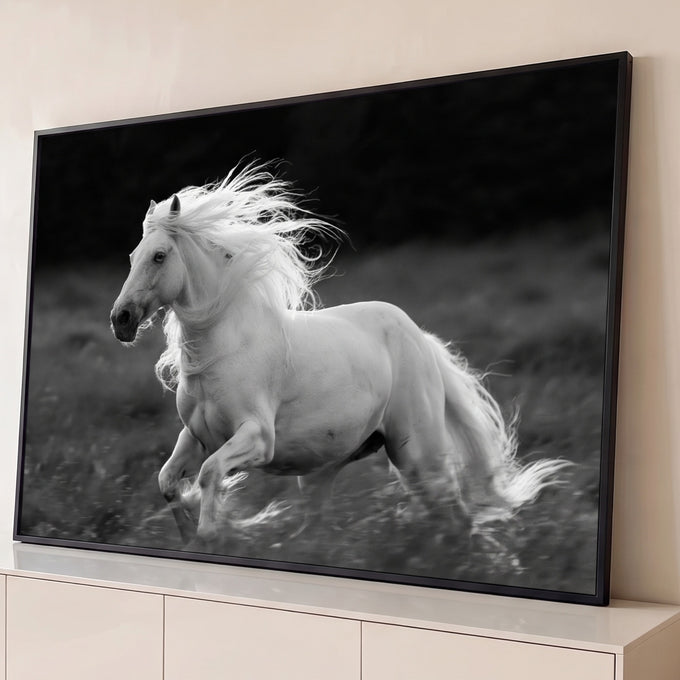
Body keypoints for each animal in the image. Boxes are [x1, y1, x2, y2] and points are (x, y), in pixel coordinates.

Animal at [110, 163, 568, 547]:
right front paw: (193, 535)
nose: (121, 319)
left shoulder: (256, 437)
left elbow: (208, 476)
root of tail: (418, 337)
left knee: (455, 513)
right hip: (320, 472)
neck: (223, 350)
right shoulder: (197, 437)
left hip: (417, 454)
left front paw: (210, 533)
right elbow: (167, 480)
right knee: (318, 530)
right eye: (131, 256)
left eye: (159, 256)